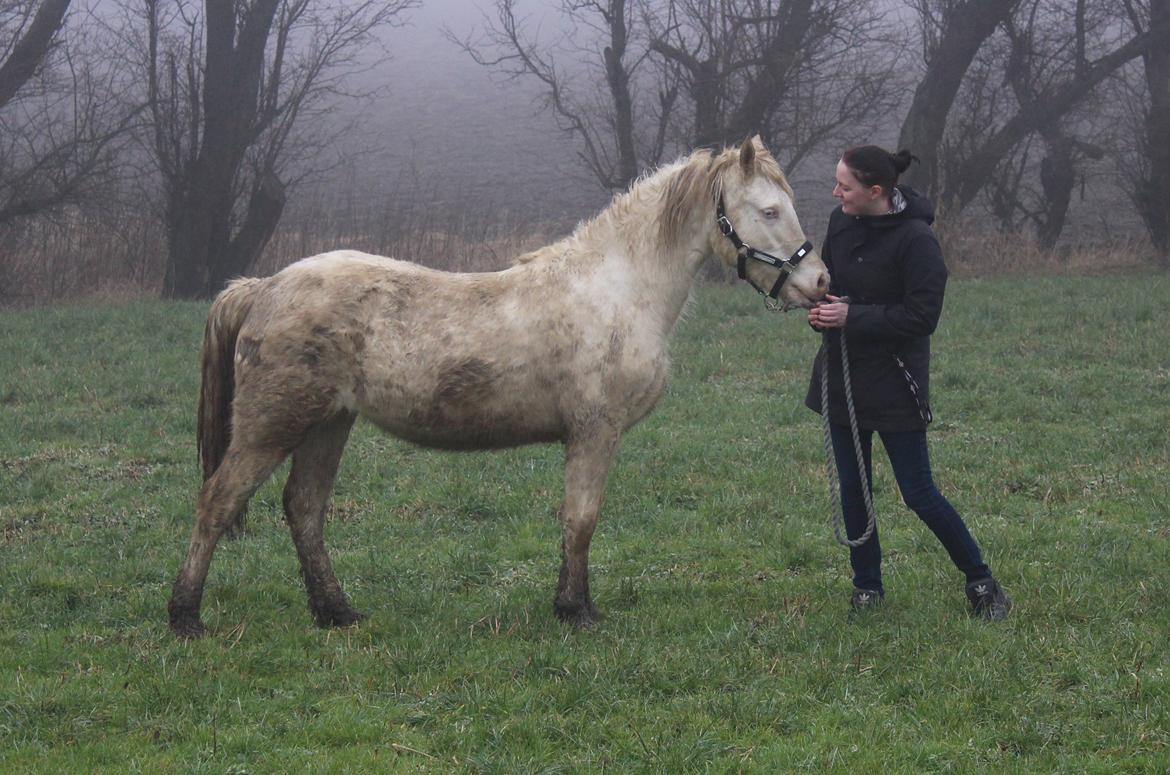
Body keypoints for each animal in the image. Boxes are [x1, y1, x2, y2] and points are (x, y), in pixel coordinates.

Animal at [169, 136, 828, 641]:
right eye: (770, 210)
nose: (819, 283)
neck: (616, 288)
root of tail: (263, 286)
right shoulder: (595, 433)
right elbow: (581, 520)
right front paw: (576, 611)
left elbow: (575, 521)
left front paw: (571, 604)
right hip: (273, 425)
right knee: (218, 502)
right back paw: (185, 617)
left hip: (328, 424)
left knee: (304, 508)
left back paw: (337, 612)